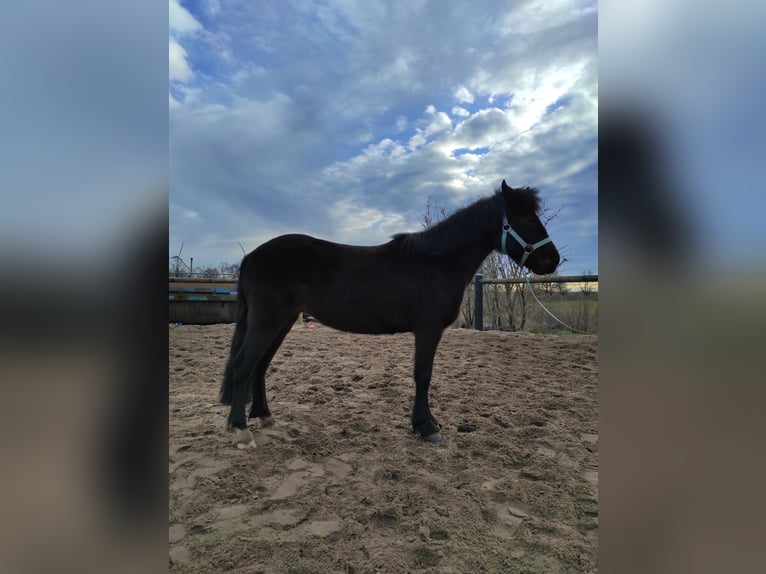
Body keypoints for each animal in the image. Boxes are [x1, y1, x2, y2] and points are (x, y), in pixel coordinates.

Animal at [219, 181, 560, 450]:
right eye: (525, 218)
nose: (552, 260)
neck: (438, 261)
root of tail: (251, 256)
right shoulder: (428, 329)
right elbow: (423, 376)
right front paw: (426, 427)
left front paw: (426, 423)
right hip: (268, 320)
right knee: (243, 365)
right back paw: (240, 430)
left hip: (282, 321)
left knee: (260, 366)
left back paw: (264, 416)